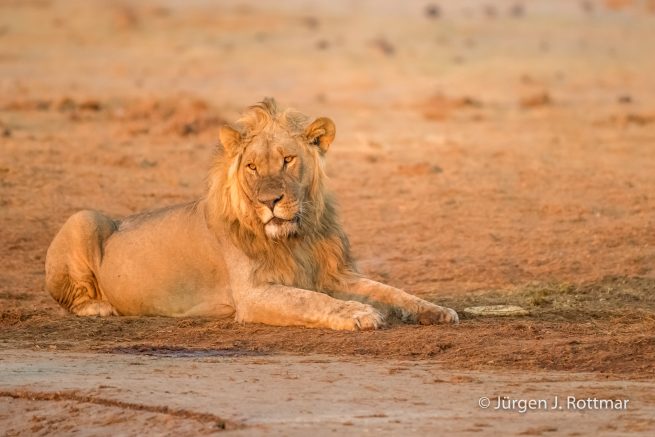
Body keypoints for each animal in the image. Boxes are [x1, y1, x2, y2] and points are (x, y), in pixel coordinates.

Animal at [45, 98, 458, 330]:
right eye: (252, 167)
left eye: (288, 160)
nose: (270, 201)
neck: (296, 237)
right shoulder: (253, 294)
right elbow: (311, 301)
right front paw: (359, 314)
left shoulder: (332, 274)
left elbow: (389, 290)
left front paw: (436, 311)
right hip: (83, 218)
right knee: (69, 299)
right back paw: (100, 307)